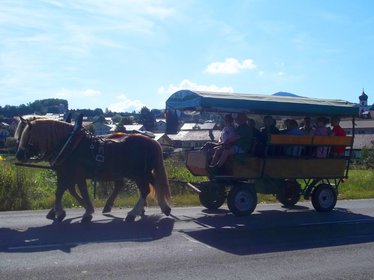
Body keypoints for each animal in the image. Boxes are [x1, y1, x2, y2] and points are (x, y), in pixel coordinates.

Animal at [15, 118, 171, 223]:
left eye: (27, 136)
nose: (18, 155)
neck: (70, 145)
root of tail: (152, 141)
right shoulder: (65, 174)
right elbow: (60, 191)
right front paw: (59, 212)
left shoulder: (76, 175)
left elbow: (79, 191)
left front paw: (86, 212)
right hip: (144, 173)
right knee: (155, 184)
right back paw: (164, 208)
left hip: (139, 174)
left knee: (145, 190)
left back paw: (132, 213)